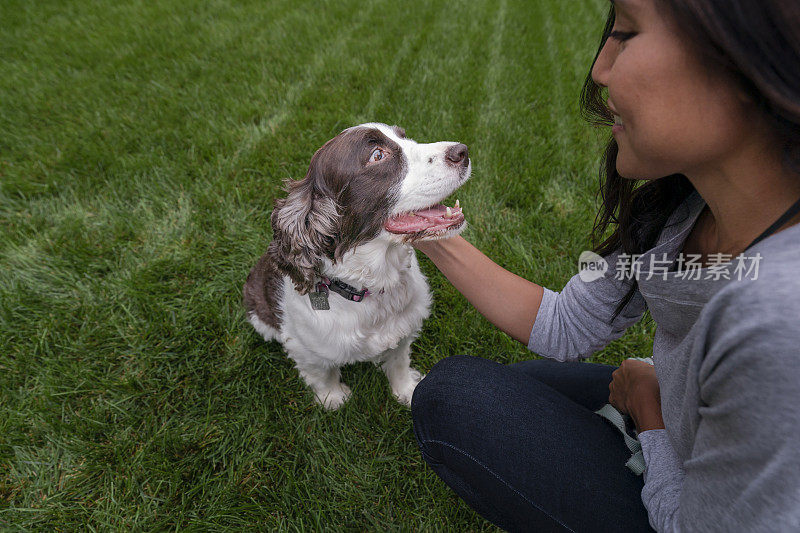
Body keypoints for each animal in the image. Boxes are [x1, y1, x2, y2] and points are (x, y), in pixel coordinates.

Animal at [244, 122, 468, 410]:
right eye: (377, 155)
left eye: (404, 136)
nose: (463, 151)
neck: (371, 285)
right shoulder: (305, 348)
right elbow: (321, 374)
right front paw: (333, 399)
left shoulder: (403, 329)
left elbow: (399, 361)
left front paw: (407, 390)